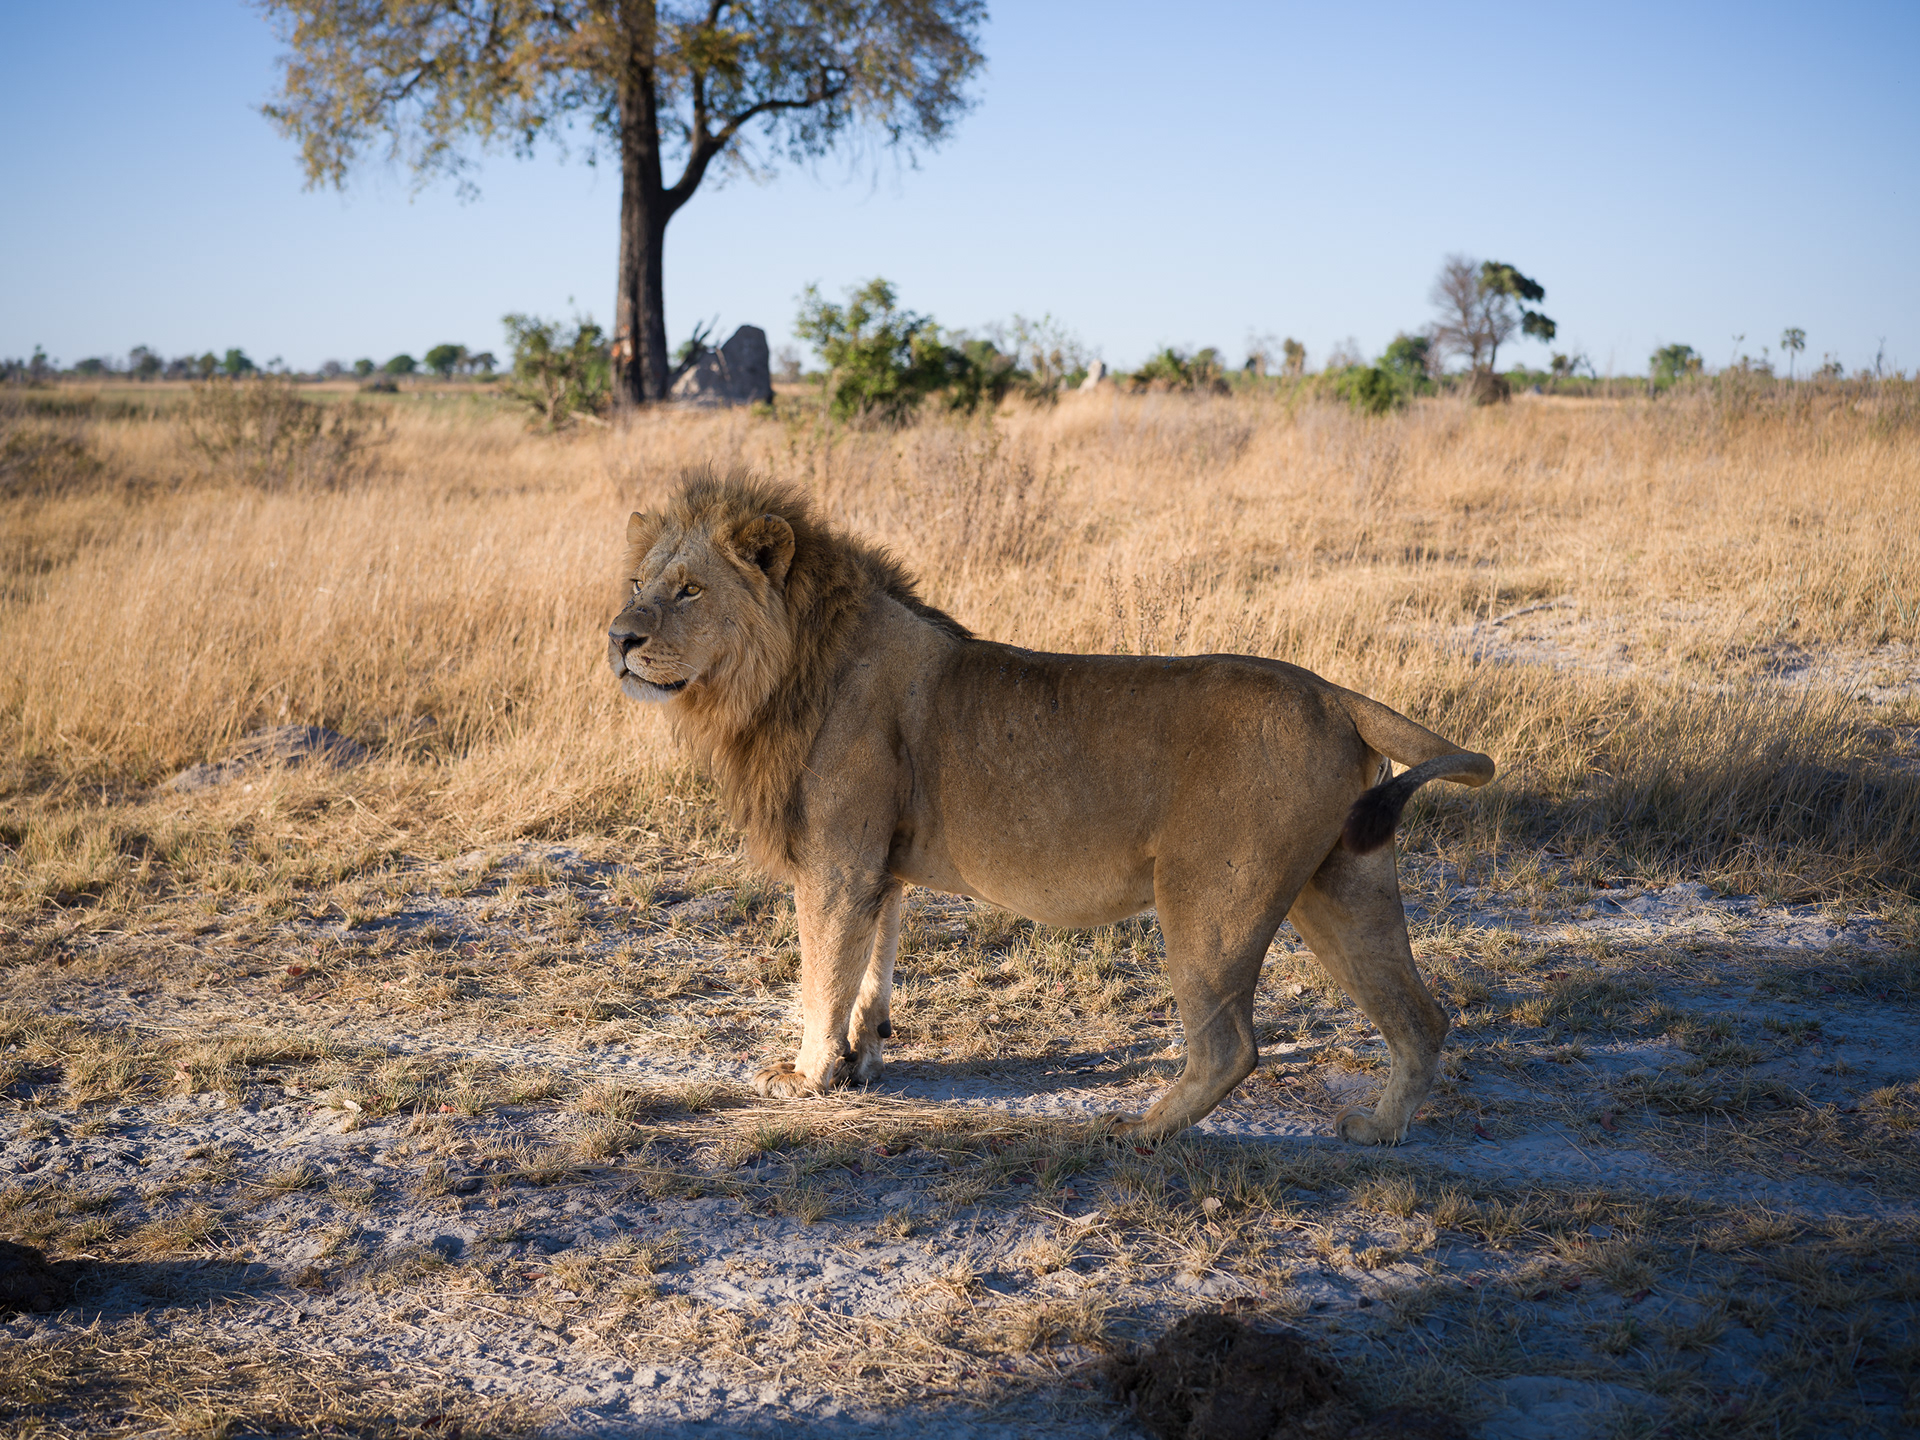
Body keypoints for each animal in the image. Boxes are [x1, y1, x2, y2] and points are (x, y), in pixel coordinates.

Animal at [607, 471, 1495, 1143]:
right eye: (636, 585)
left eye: (688, 591)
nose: (617, 637)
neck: (783, 672)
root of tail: (1336, 694)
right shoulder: (874, 865)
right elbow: (870, 965)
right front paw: (863, 1060)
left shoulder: (836, 861)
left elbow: (824, 971)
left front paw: (807, 1075)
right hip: (1341, 886)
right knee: (1420, 1016)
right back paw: (1377, 1131)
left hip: (1212, 901)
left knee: (1231, 1044)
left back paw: (1139, 1133)